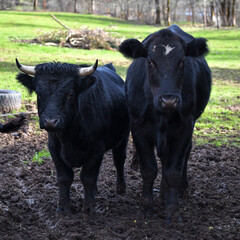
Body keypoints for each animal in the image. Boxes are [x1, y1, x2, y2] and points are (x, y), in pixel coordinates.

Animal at [15, 59, 129, 213]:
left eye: (69, 94)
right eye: (39, 94)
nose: (50, 121)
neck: (70, 135)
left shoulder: (97, 149)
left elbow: (88, 177)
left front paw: (89, 207)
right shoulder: (54, 148)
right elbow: (64, 178)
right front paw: (63, 207)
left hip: (123, 138)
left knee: (119, 160)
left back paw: (121, 188)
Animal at [119, 25, 211, 222]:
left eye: (182, 61)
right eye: (150, 61)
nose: (169, 100)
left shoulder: (185, 126)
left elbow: (173, 171)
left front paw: (173, 210)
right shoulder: (138, 127)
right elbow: (149, 169)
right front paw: (145, 208)